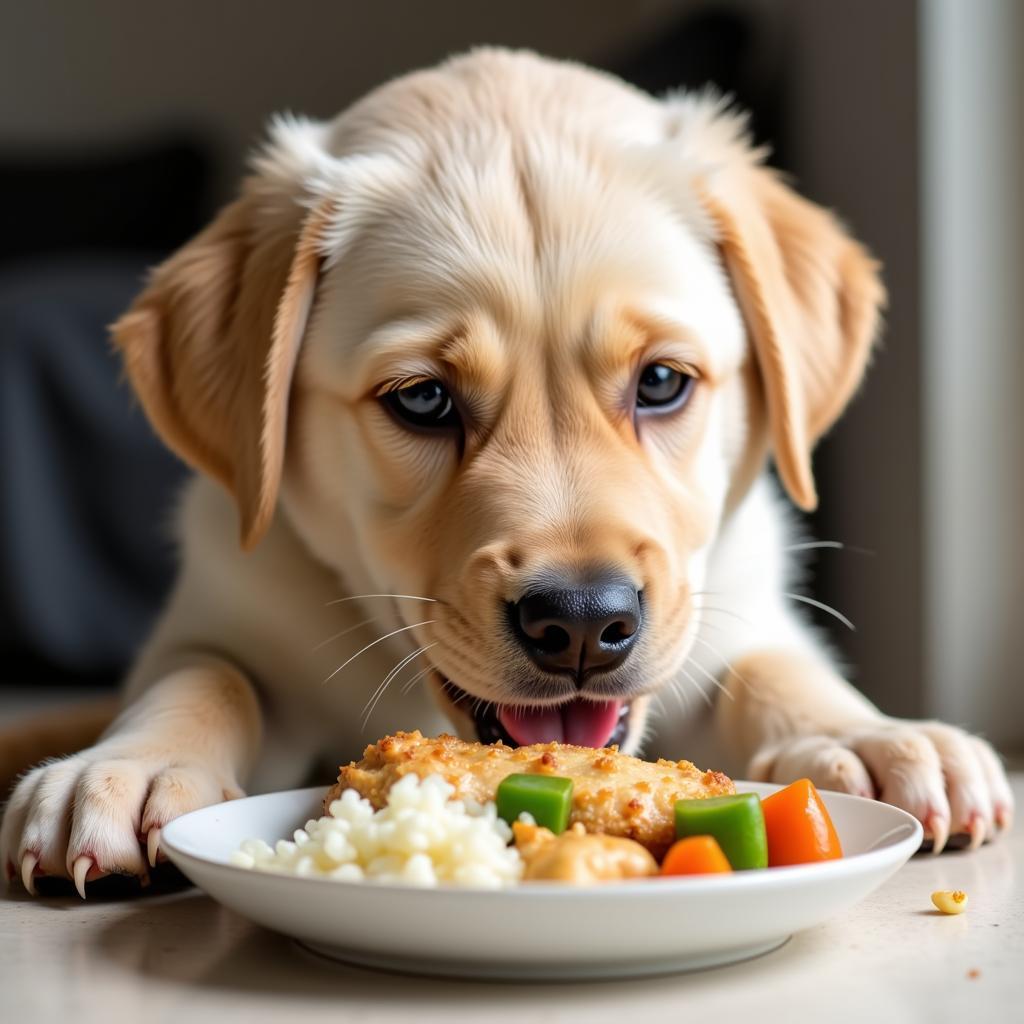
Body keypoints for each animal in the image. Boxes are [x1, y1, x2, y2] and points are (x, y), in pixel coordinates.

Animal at [0, 49, 1011, 897]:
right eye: (422, 399)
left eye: (661, 383)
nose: (583, 625)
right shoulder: (226, 602)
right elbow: (206, 677)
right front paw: (126, 767)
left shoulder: (735, 600)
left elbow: (768, 669)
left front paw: (871, 736)